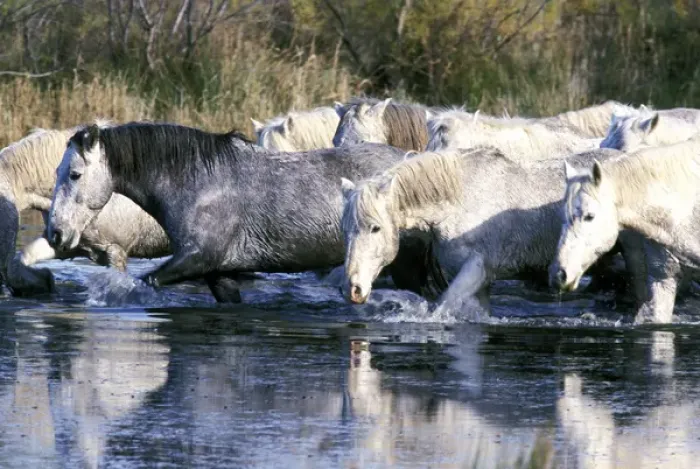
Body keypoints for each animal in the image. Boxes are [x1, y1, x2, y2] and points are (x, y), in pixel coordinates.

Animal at [47, 122, 435, 303]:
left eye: (75, 174)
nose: (55, 233)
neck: (200, 183)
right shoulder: (219, 273)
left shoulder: (194, 259)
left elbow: (147, 281)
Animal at [339, 146, 628, 318]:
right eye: (345, 231)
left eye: (375, 228)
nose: (352, 289)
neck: (458, 201)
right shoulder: (480, 283)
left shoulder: (476, 269)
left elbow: (442, 307)